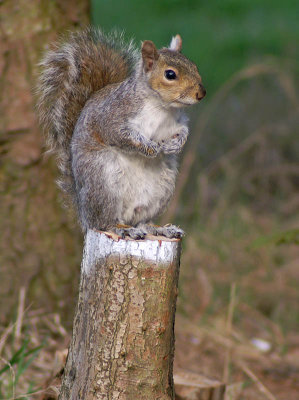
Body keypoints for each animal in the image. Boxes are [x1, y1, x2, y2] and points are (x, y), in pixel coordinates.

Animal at [37, 28, 206, 241]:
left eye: (194, 65)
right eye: (170, 74)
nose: (201, 93)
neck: (163, 107)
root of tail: (84, 213)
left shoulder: (179, 121)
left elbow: (183, 132)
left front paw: (175, 145)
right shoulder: (113, 117)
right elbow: (123, 136)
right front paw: (150, 148)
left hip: (162, 190)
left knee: (143, 221)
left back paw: (159, 229)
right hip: (103, 183)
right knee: (104, 221)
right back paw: (121, 228)